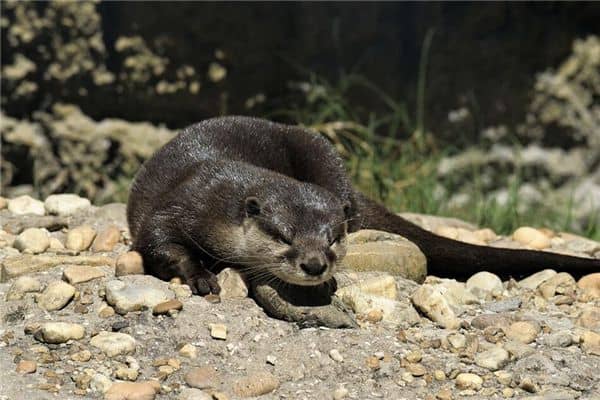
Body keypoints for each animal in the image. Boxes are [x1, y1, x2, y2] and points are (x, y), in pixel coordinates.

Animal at [126, 115, 600, 294]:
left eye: (332, 240)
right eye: (284, 236)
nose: (315, 265)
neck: (221, 196)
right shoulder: (179, 203)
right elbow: (159, 244)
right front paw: (200, 275)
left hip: (323, 154)